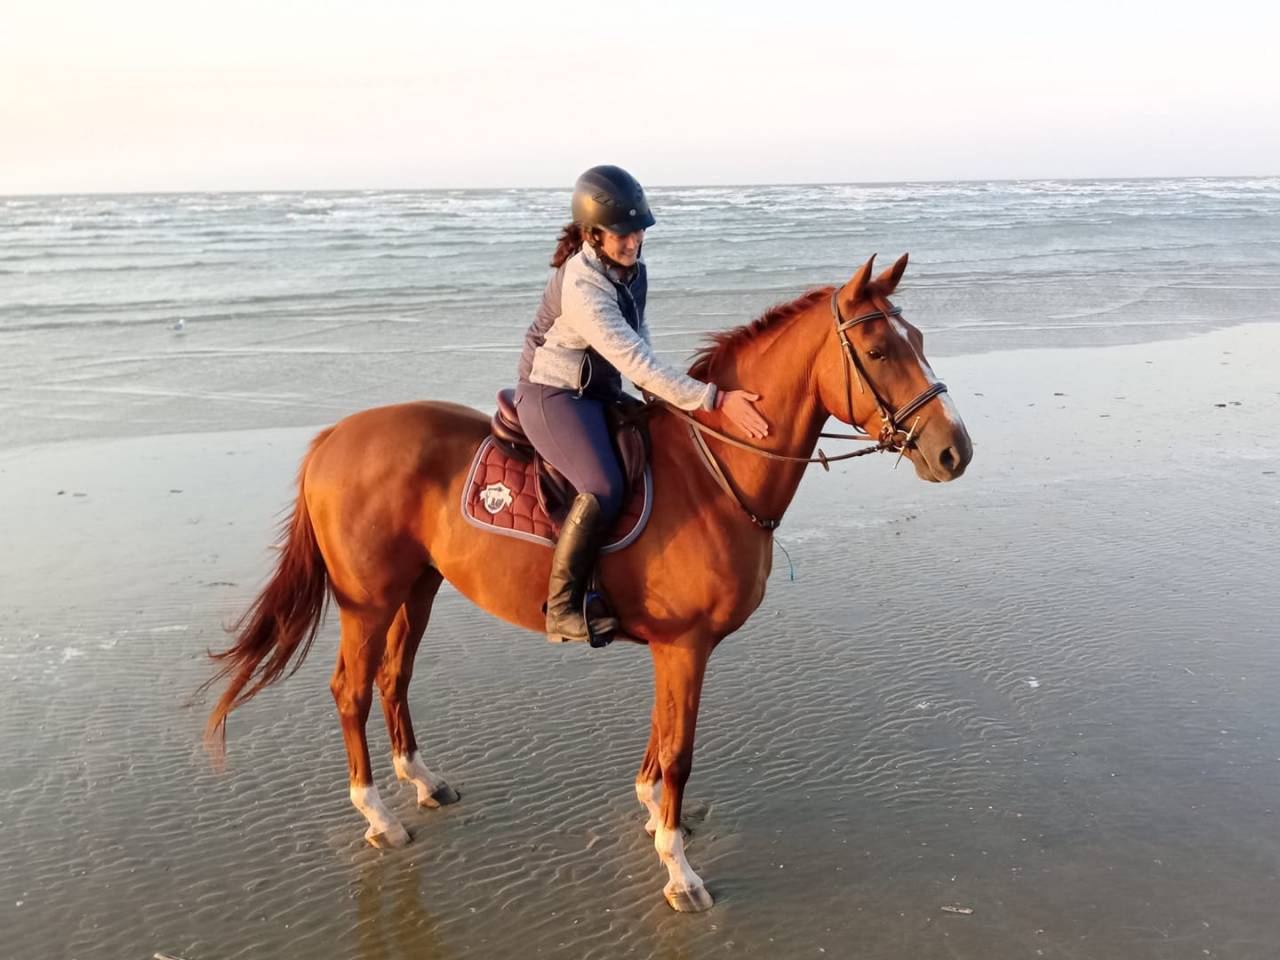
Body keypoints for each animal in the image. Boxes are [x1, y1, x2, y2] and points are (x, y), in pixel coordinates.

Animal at [202, 252, 973, 913]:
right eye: (880, 352)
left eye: (919, 338)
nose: (954, 451)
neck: (713, 473)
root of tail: (332, 437)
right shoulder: (686, 647)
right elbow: (680, 750)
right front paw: (678, 869)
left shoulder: (675, 649)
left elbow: (661, 737)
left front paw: (655, 814)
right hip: (368, 602)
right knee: (351, 691)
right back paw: (377, 814)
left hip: (417, 589)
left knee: (394, 679)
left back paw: (420, 781)